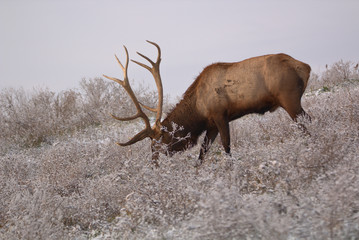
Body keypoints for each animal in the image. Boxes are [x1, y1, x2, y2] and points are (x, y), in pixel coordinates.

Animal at [104, 40, 312, 166]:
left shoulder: (220, 115)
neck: (198, 109)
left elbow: (226, 146)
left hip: (289, 99)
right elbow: (202, 154)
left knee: (306, 122)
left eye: (160, 140)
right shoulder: (210, 125)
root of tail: (305, 67)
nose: (154, 162)